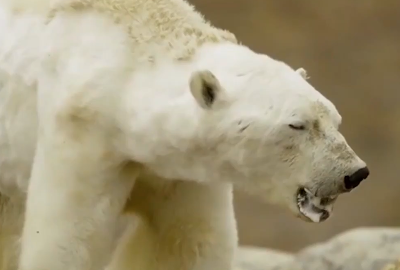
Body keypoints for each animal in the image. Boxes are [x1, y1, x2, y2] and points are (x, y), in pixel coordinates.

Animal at [0, 0, 370, 270]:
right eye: (297, 124)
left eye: (335, 119)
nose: (354, 173)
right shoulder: (83, 134)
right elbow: (67, 238)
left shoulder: (180, 169)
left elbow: (187, 240)